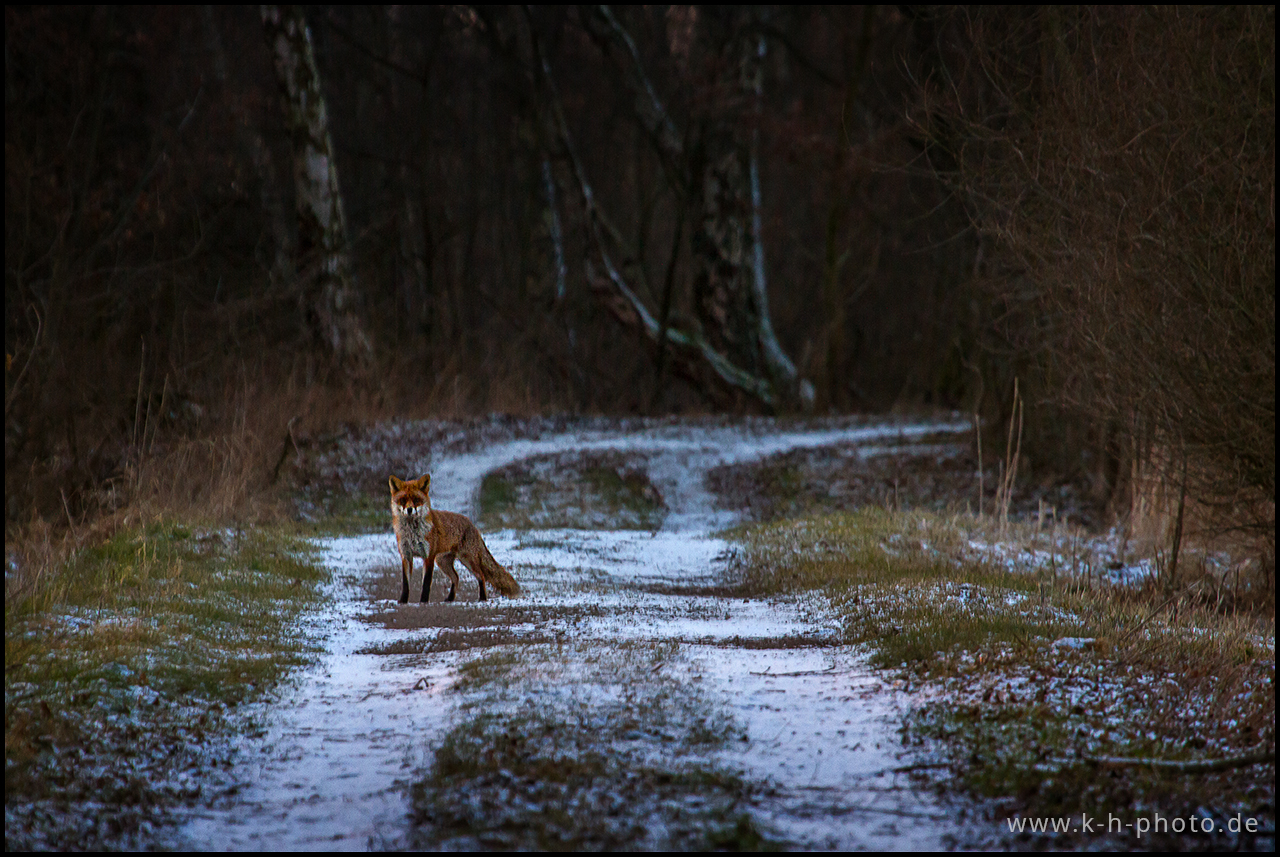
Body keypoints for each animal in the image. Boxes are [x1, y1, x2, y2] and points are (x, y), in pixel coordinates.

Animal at [384, 475, 519, 603]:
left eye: (416, 500)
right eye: (403, 500)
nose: (409, 509)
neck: (412, 531)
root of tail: (472, 524)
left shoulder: (428, 557)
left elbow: (426, 584)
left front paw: (423, 601)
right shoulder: (406, 556)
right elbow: (405, 584)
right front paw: (403, 601)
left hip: (467, 559)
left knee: (481, 576)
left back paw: (482, 598)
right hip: (443, 562)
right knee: (456, 577)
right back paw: (451, 598)